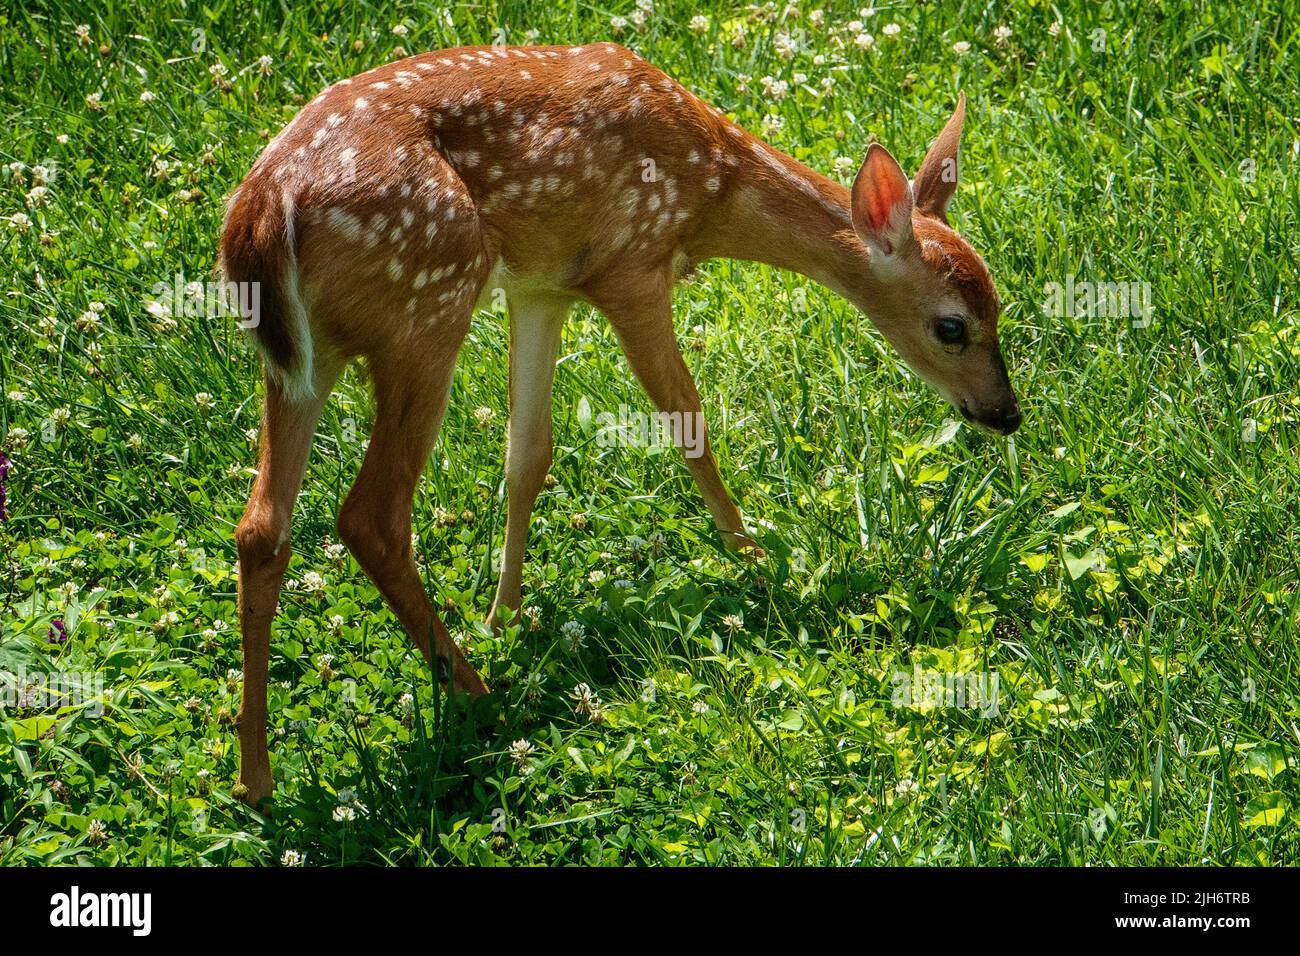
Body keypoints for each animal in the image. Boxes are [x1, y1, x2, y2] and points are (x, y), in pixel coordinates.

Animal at [219, 42, 1021, 807]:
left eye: (999, 306)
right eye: (952, 326)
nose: (1006, 413)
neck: (710, 186)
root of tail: (258, 216)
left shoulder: (543, 286)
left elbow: (527, 454)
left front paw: (505, 613)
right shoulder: (629, 268)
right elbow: (687, 421)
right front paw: (757, 561)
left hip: (305, 359)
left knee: (262, 526)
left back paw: (256, 778)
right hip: (429, 303)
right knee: (370, 515)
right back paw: (478, 696)